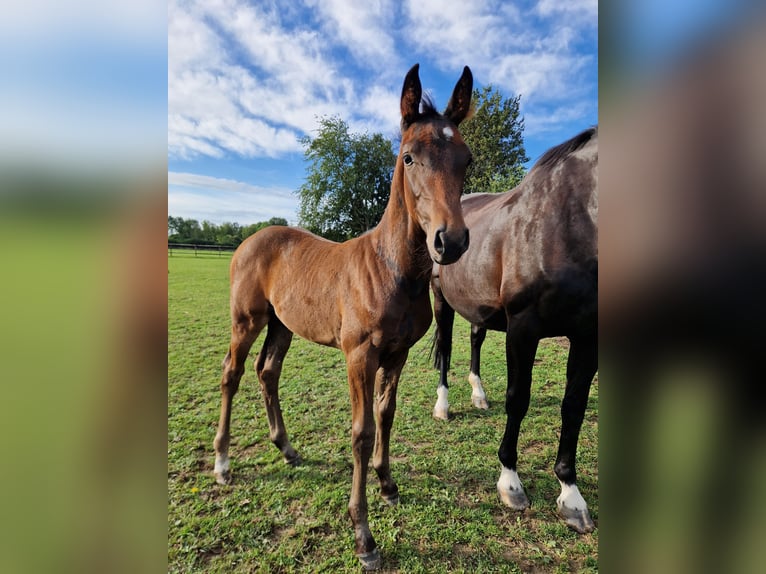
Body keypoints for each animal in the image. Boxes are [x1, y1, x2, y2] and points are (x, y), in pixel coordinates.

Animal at [212, 64, 474, 572]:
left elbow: (387, 415)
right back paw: (223, 463)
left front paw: (388, 485)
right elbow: (362, 431)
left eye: (467, 160)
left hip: (282, 325)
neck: (392, 269)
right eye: (409, 158)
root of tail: (251, 239)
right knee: (232, 373)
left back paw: (287, 448)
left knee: (267, 372)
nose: (449, 242)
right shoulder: (360, 355)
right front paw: (363, 536)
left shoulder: (397, 353)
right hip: (246, 320)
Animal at [432, 126, 600, 536]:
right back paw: (443, 405)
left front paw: (571, 495)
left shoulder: (588, 336)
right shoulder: (523, 329)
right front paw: (510, 481)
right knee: (446, 348)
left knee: (475, 340)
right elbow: (518, 399)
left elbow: (574, 407)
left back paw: (478, 395)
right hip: (442, 300)